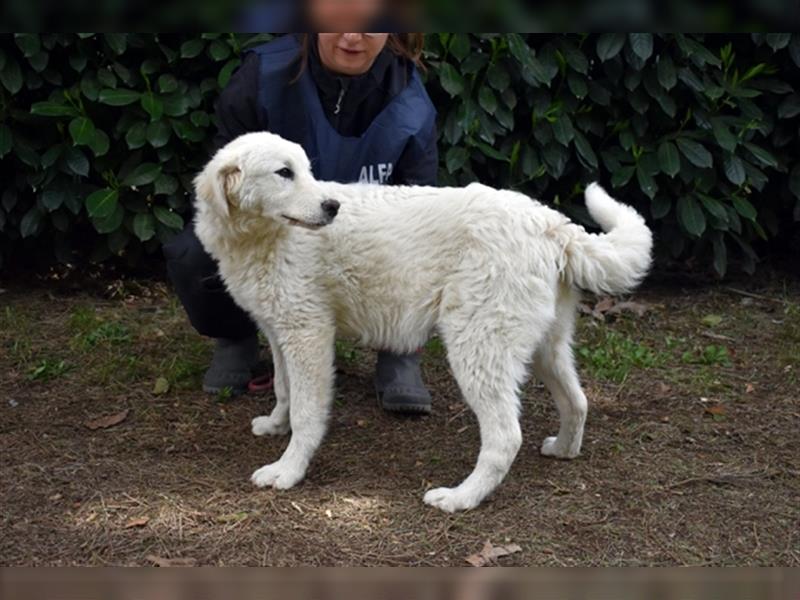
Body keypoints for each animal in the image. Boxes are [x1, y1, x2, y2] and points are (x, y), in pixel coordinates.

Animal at [195, 131, 656, 510]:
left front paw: (288, 471)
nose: (332, 207)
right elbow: (283, 389)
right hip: (545, 344)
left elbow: (308, 413)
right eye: (285, 173)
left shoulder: (307, 334)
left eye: (305, 171)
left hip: (478, 345)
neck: (260, 237)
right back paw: (562, 449)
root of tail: (550, 222)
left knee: (505, 437)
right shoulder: (279, 331)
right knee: (578, 401)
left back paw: (461, 498)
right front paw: (275, 425)